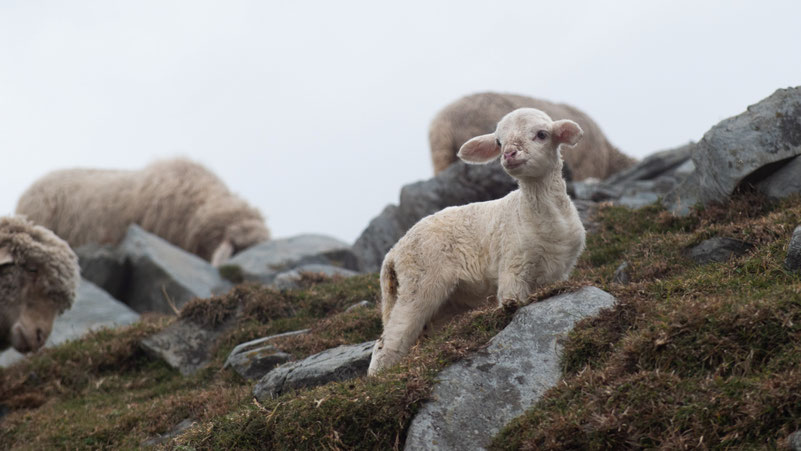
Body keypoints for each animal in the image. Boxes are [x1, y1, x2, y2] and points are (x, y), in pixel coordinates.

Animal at [368, 108, 587, 375]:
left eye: (541, 134)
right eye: (499, 142)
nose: (509, 154)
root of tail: (393, 252)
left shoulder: (559, 272)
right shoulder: (514, 264)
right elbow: (511, 299)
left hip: (443, 304)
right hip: (419, 281)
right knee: (388, 340)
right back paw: (379, 376)